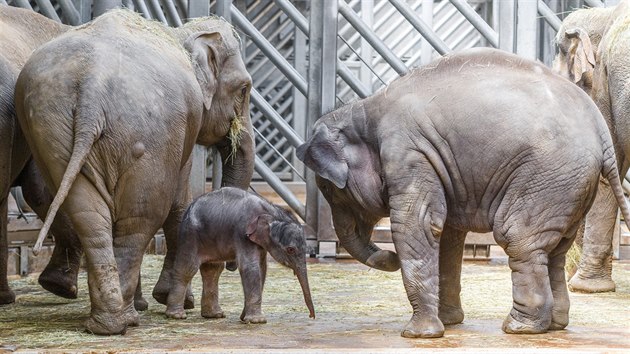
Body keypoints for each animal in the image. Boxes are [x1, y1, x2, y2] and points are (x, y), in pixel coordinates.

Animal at [13, 9, 254, 334]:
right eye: (244, 88)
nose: (229, 263)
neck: (179, 33)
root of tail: (93, 84)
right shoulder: (182, 128)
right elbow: (178, 201)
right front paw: (174, 301)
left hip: (51, 131)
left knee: (89, 214)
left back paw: (107, 321)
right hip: (150, 135)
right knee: (142, 217)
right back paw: (123, 319)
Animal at [165, 188, 316, 324]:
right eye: (290, 249)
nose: (311, 316)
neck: (270, 210)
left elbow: (262, 269)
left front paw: (247, 318)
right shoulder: (242, 233)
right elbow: (250, 267)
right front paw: (257, 321)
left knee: (212, 270)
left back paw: (215, 315)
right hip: (190, 235)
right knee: (188, 269)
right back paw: (176, 315)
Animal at [298, 47, 630, 338]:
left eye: (327, 188)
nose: (389, 258)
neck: (365, 110)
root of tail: (600, 130)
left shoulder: (408, 154)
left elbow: (418, 225)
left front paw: (419, 334)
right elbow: (447, 234)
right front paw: (448, 323)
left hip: (549, 176)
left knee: (518, 238)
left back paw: (519, 328)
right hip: (569, 185)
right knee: (556, 249)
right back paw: (554, 325)